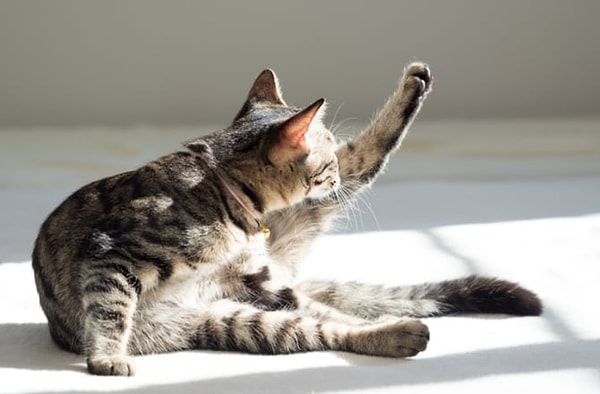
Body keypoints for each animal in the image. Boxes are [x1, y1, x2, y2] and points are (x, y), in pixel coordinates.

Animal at [30, 63, 540, 378]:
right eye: (324, 153)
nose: (333, 170)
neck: (223, 195)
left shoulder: (257, 280)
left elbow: (326, 310)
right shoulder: (110, 253)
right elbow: (110, 310)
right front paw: (107, 358)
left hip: (252, 307)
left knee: (329, 313)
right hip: (236, 320)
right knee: (325, 326)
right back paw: (399, 332)